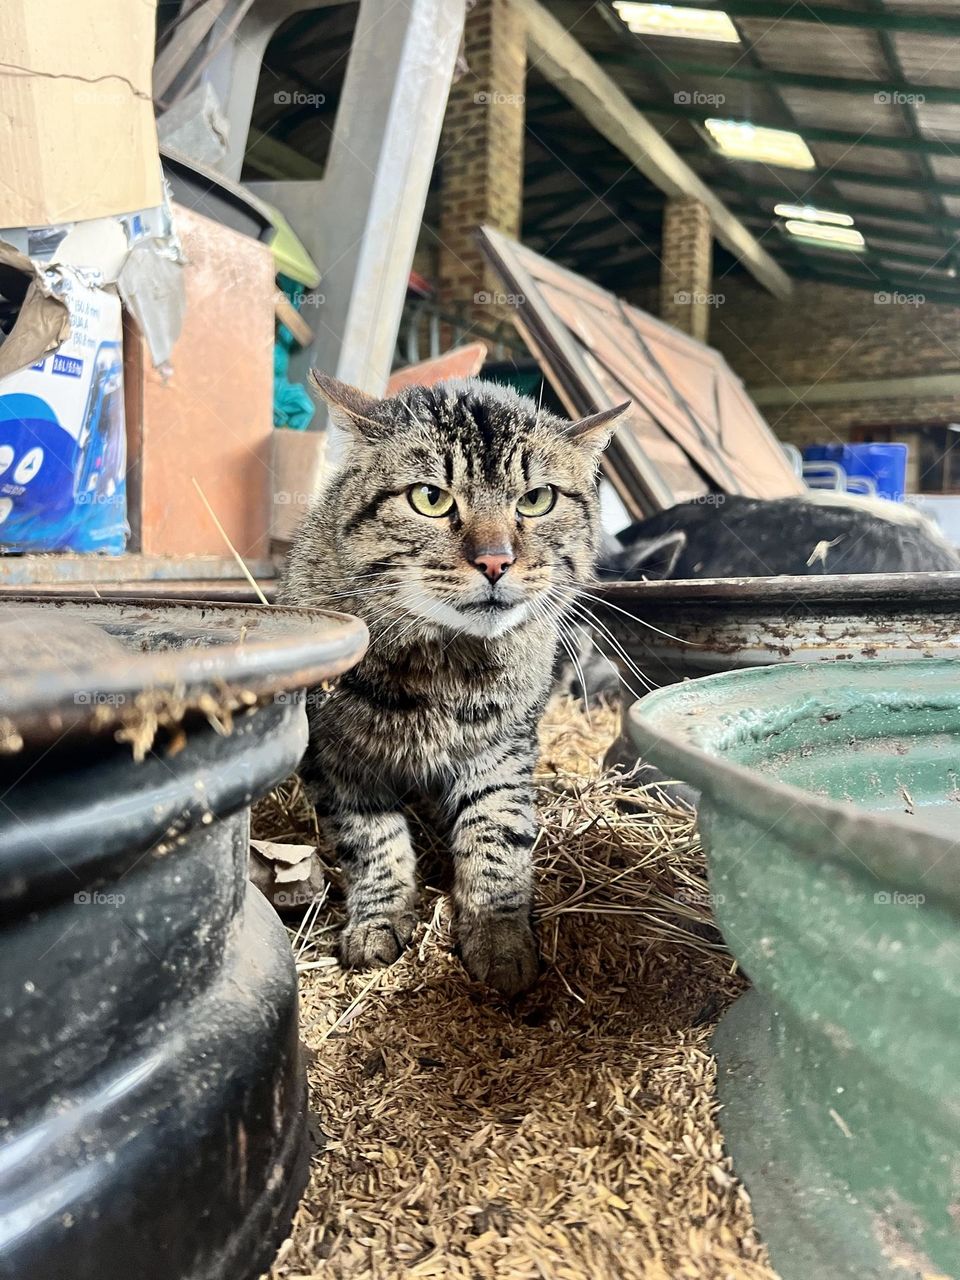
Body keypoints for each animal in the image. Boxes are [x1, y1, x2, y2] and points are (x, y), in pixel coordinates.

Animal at [280, 373, 624, 998]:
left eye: (536, 499)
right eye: (430, 498)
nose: (495, 561)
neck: (443, 664)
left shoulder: (505, 750)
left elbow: (496, 835)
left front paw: (498, 935)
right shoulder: (333, 760)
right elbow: (372, 840)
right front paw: (378, 918)